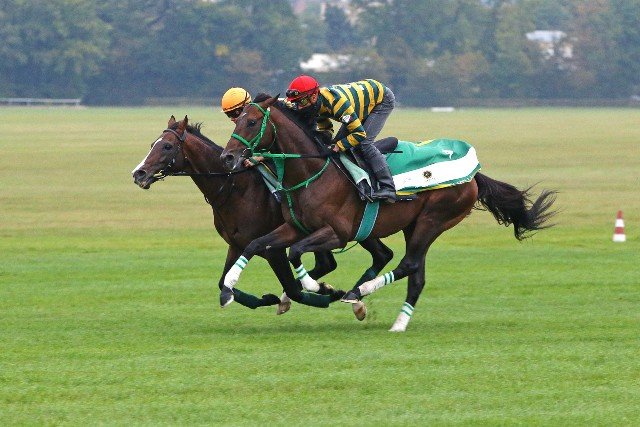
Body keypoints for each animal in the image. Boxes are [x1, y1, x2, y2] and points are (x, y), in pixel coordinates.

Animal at [132, 115, 394, 313]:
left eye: (167, 146)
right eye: (152, 144)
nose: (139, 173)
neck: (234, 188)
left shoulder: (273, 250)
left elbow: (293, 289)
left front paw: (326, 293)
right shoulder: (236, 244)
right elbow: (223, 282)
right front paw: (264, 298)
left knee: (377, 255)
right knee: (370, 256)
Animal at [219, 96, 557, 332]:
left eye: (251, 122)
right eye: (237, 121)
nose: (228, 157)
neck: (313, 171)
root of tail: (473, 174)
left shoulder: (337, 233)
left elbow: (295, 253)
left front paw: (317, 288)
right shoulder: (295, 227)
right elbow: (257, 244)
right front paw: (229, 288)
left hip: (433, 220)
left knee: (409, 264)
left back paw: (359, 292)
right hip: (414, 225)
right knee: (416, 275)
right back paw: (396, 322)